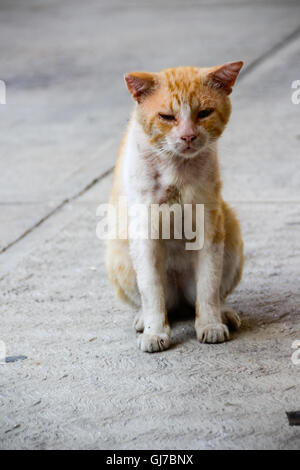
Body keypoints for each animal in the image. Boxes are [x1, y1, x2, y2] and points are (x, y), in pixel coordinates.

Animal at [106, 61, 245, 352]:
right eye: (167, 117)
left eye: (204, 113)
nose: (188, 136)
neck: (176, 166)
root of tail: (180, 296)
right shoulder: (144, 231)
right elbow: (151, 289)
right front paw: (155, 332)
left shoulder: (209, 226)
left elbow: (209, 285)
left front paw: (211, 324)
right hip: (118, 254)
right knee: (156, 300)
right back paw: (143, 318)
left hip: (231, 233)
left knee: (211, 294)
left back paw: (224, 312)